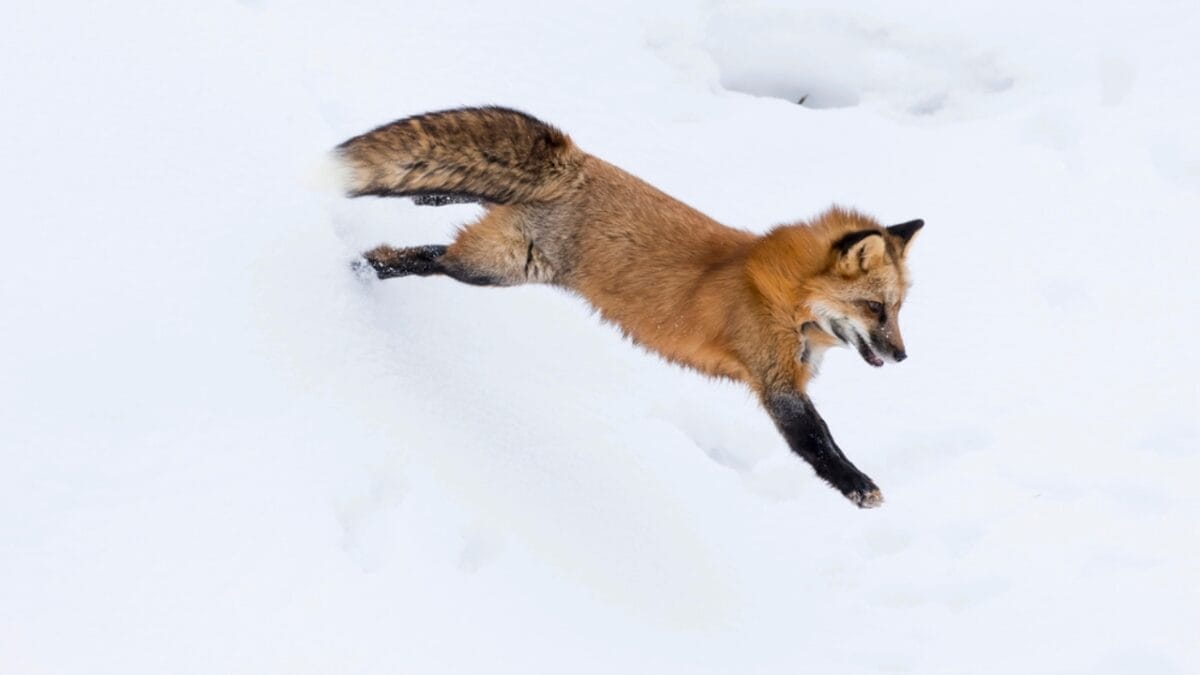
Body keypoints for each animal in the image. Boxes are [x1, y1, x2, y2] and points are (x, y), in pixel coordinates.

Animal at [336, 106, 923, 508]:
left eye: (898, 310)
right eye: (876, 308)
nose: (902, 357)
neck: (785, 297)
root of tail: (578, 162)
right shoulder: (775, 381)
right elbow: (818, 441)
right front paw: (858, 486)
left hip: (502, 253)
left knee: (456, 203)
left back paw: (415, 209)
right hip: (490, 269)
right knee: (425, 258)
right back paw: (364, 267)